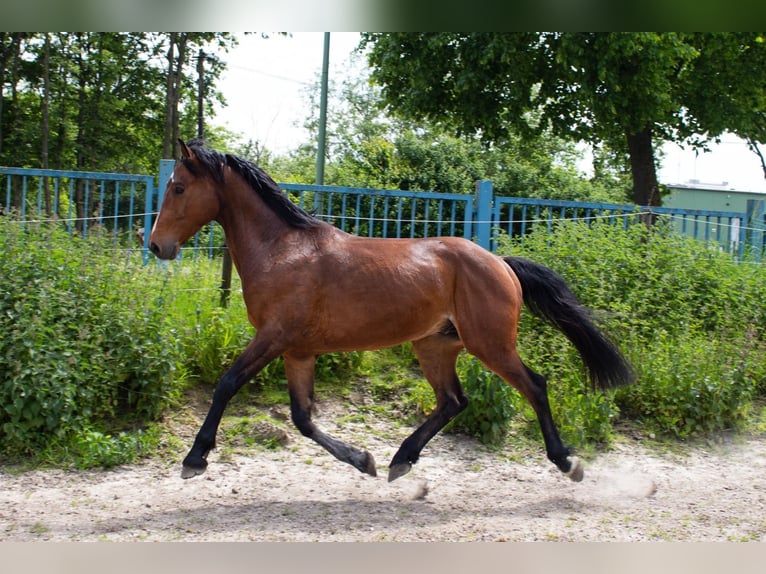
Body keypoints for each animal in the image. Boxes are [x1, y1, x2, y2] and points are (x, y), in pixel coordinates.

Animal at [150, 141, 636, 486]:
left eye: (178, 187)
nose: (156, 246)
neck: (282, 251)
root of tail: (500, 263)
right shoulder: (297, 351)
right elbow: (303, 418)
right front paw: (363, 459)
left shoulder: (273, 337)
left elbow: (227, 385)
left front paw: (194, 458)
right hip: (435, 344)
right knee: (453, 401)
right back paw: (401, 460)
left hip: (490, 344)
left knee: (534, 386)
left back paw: (566, 461)